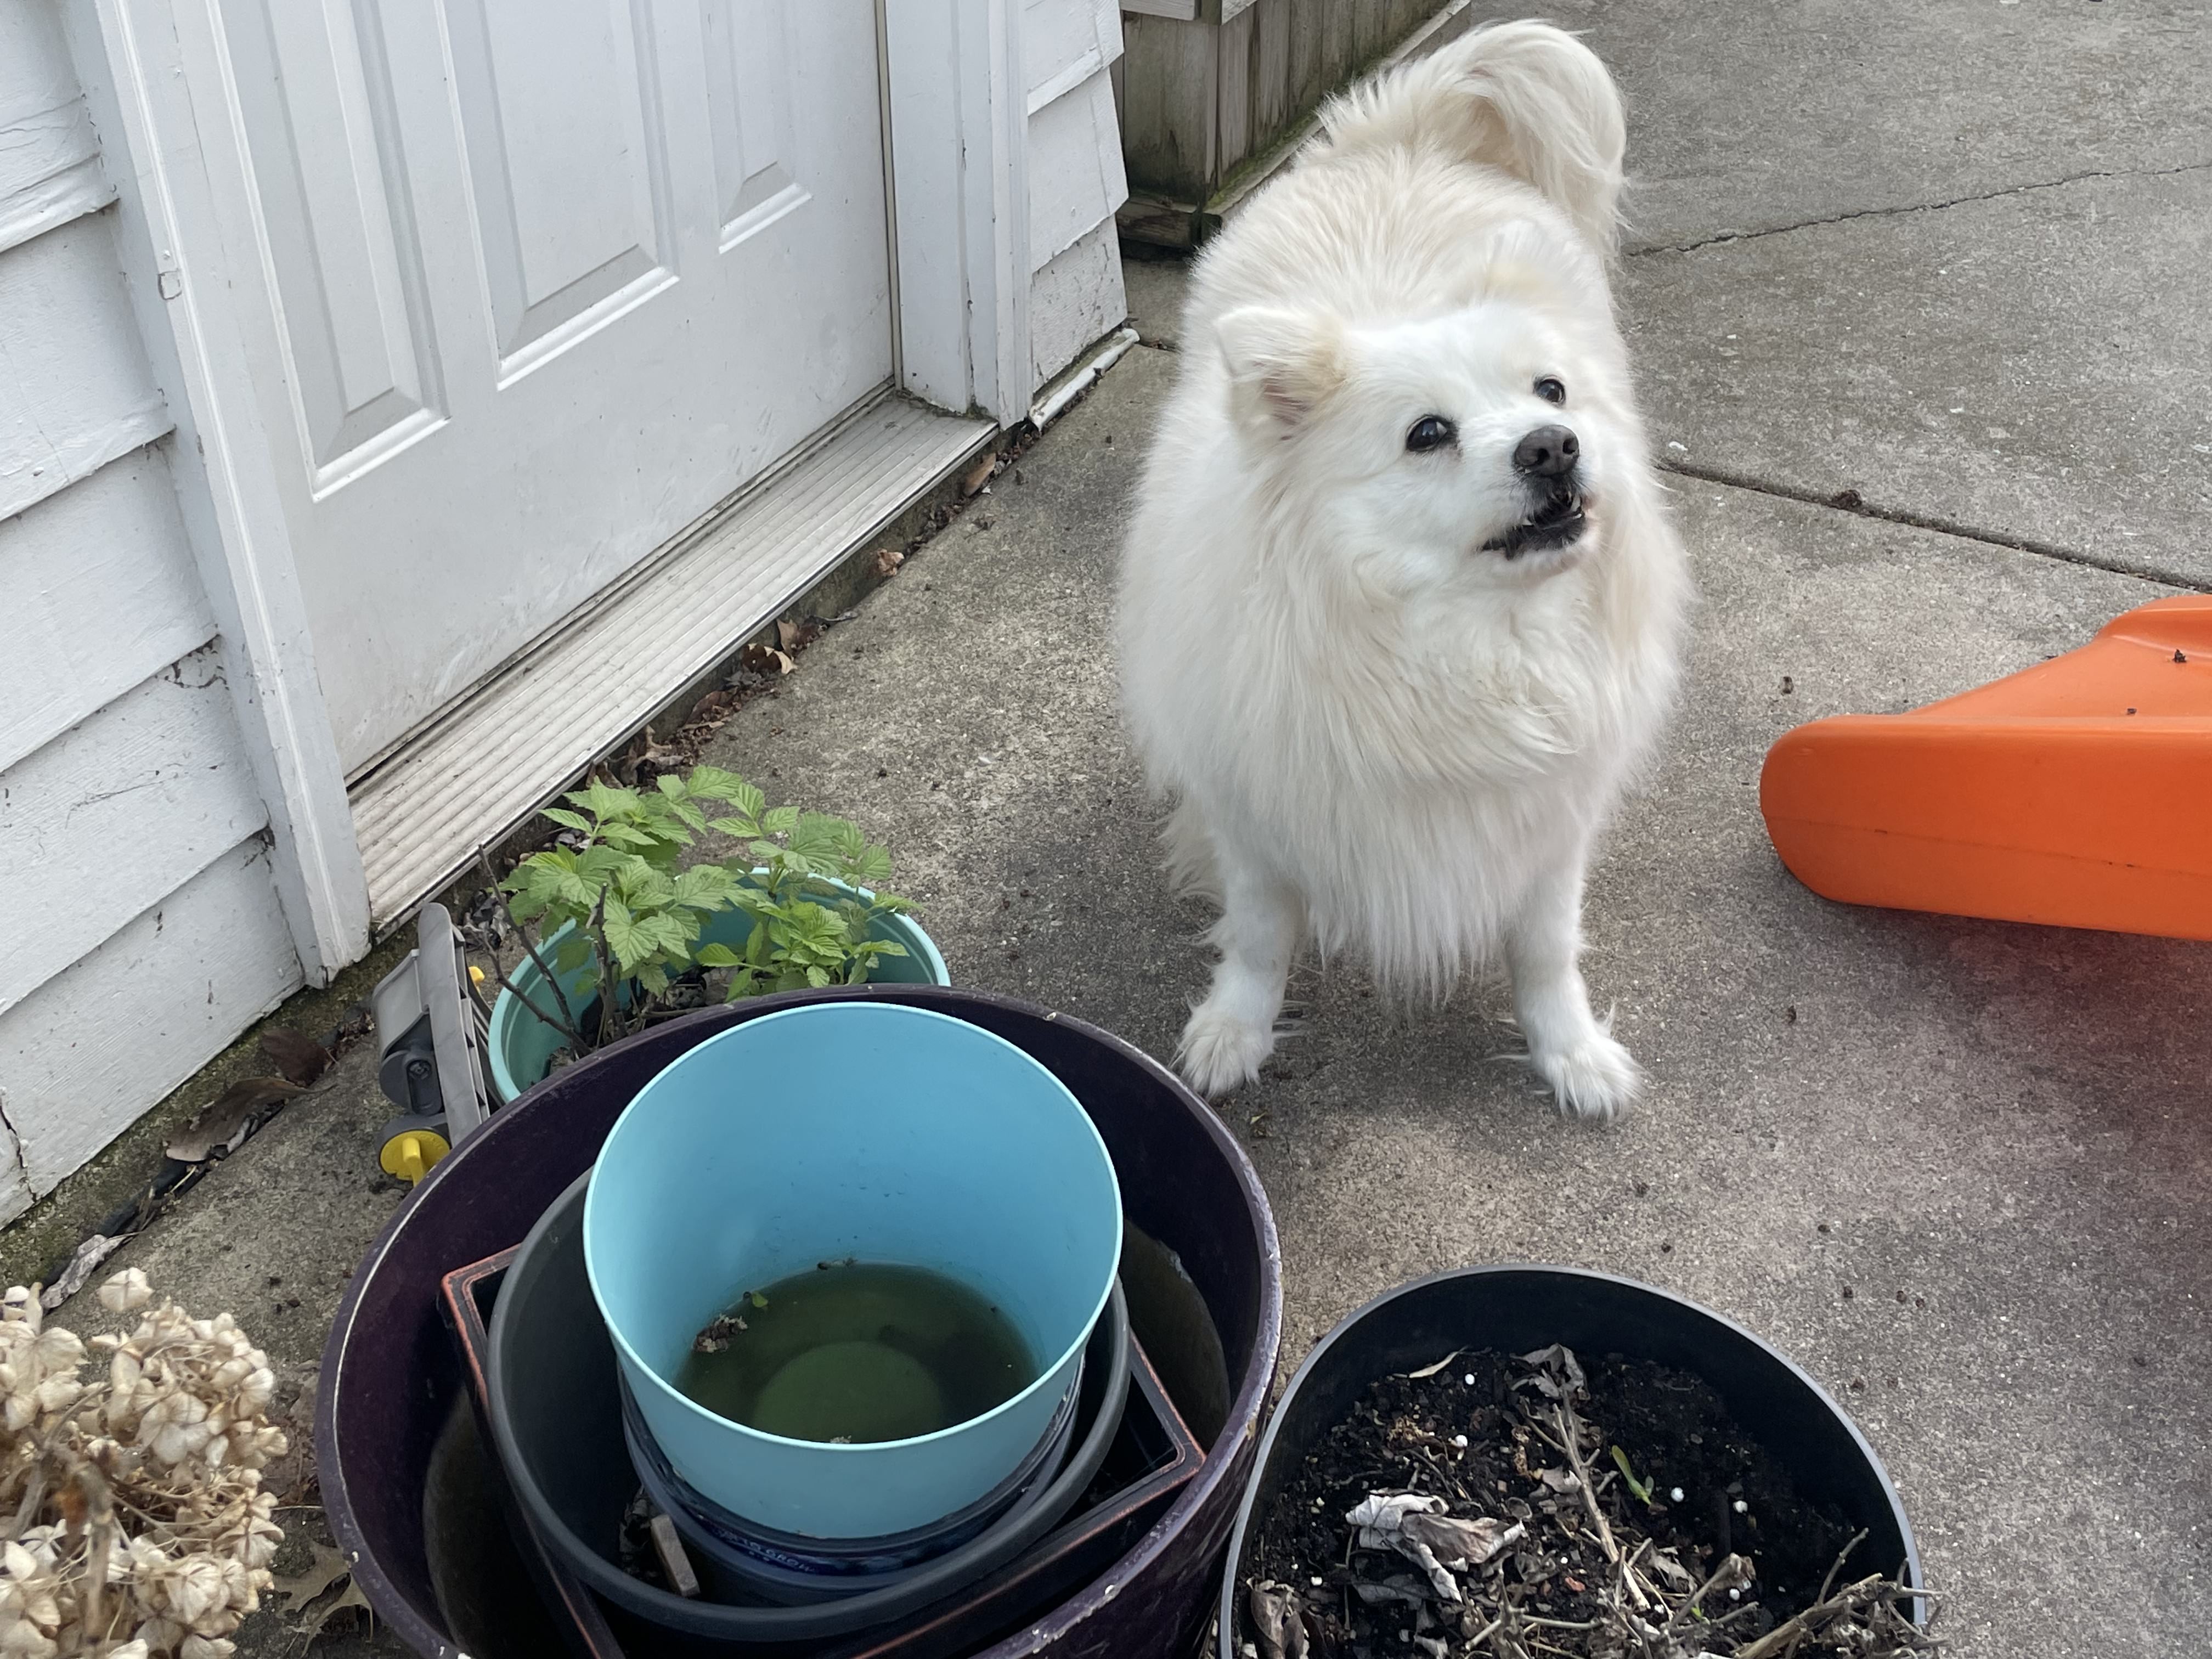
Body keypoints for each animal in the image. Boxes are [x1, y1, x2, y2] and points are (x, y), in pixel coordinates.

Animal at [1115, 19, 1681, 1124]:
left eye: (1549, 391)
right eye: (1428, 435)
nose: (1553, 447)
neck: (1463, 647)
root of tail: (1401, 137)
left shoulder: (1548, 829)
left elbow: (1546, 949)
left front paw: (1570, 1053)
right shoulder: (1258, 819)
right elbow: (1258, 939)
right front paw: (1233, 1033)